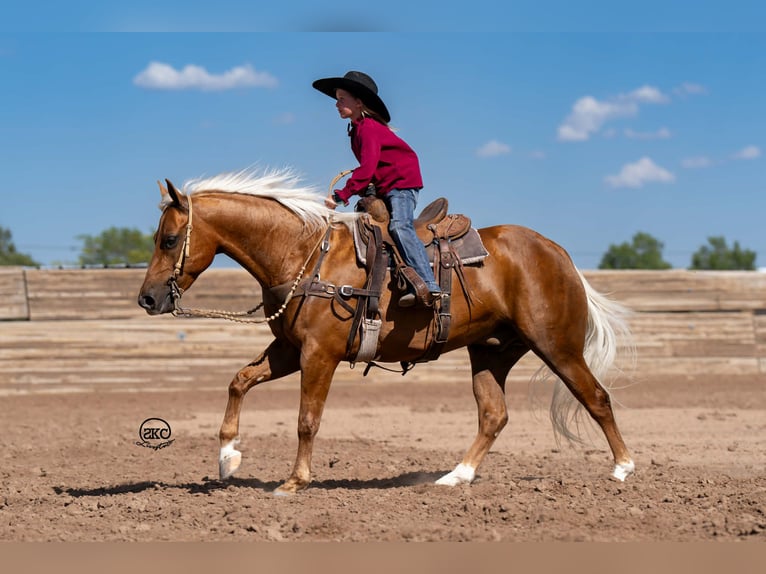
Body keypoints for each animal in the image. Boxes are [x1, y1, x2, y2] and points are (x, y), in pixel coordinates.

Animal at [137, 168, 635, 496]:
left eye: (168, 240)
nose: (147, 299)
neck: (305, 254)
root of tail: (557, 252)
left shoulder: (319, 354)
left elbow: (306, 420)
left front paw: (294, 482)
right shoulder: (289, 349)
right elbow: (239, 381)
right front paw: (227, 460)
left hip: (557, 345)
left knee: (596, 397)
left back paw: (623, 469)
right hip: (491, 351)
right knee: (494, 414)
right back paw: (456, 476)